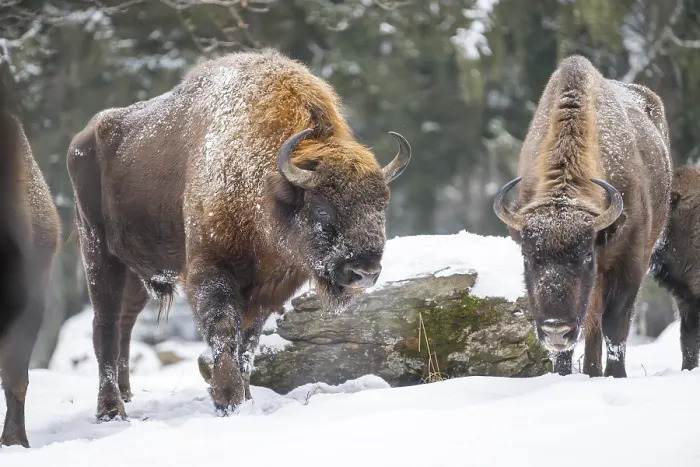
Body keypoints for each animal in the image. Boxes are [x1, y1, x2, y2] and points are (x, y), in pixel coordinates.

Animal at [67, 49, 411, 420]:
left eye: (382, 205)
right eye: (321, 208)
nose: (365, 272)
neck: (263, 186)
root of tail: (84, 137)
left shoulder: (267, 289)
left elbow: (248, 341)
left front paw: (245, 398)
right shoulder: (211, 271)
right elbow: (222, 331)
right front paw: (228, 399)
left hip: (137, 272)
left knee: (125, 323)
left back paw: (127, 395)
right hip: (98, 252)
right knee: (105, 325)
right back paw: (111, 409)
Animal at [493, 55, 672, 377]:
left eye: (586, 255)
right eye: (527, 256)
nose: (556, 330)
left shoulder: (629, 261)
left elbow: (614, 324)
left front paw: (616, 375)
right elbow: (581, 334)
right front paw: (563, 374)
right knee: (590, 324)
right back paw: (589, 370)